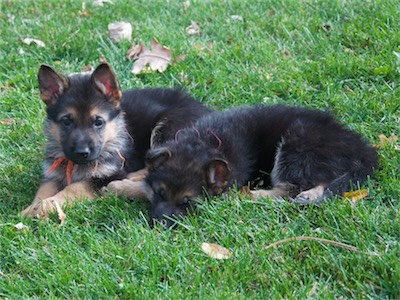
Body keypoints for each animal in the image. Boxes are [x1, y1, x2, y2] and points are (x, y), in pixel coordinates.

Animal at [21, 63, 212, 223]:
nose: (82, 153)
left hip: (168, 126)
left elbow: (73, 188)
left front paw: (46, 206)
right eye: (66, 122)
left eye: (98, 122)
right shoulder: (52, 174)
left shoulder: (105, 176)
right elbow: (43, 191)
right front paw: (31, 208)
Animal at [144, 105, 378, 225]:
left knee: (292, 188)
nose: (158, 224)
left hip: (297, 144)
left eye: (187, 203)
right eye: (160, 193)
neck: (205, 142)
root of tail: (363, 150)